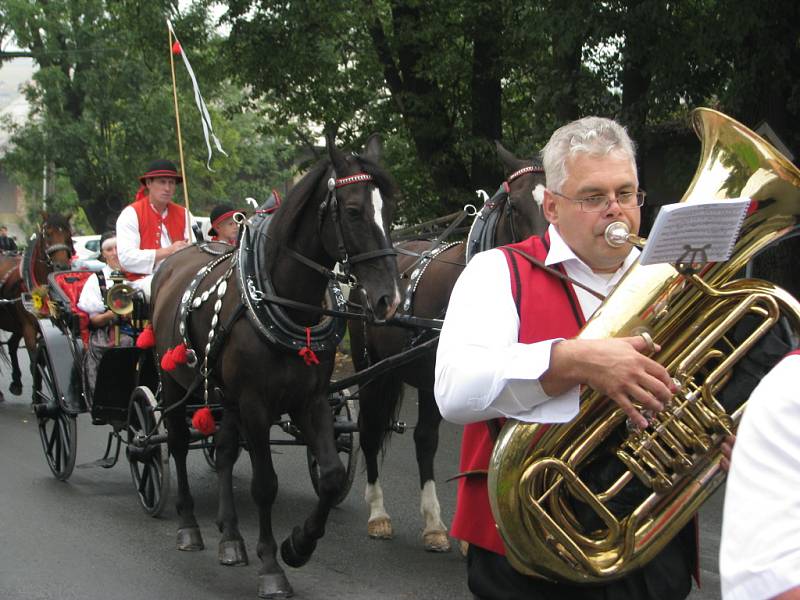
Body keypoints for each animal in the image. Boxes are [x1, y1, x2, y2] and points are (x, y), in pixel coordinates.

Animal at [0, 213, 72, 400]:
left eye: (68, 234)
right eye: (47, 234)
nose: (62, 266)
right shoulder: (29, 328)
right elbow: (34, 361)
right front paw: (37, 397)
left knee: (12, 344)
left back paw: (16, 382)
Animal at [150, 137, 400, 600]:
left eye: (390, 211)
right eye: (353, 211)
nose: (388, 300)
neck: (283, 300)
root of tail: (172, 263)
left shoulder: (312, 400)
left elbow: (331, 477)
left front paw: (298, 545)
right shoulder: (256, 405)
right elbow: (265, 485)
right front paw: (271, 567)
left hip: (225, 398)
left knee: (224, 450)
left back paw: (231, 537)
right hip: (174, 383)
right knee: (175, 444)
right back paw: (189, 526)